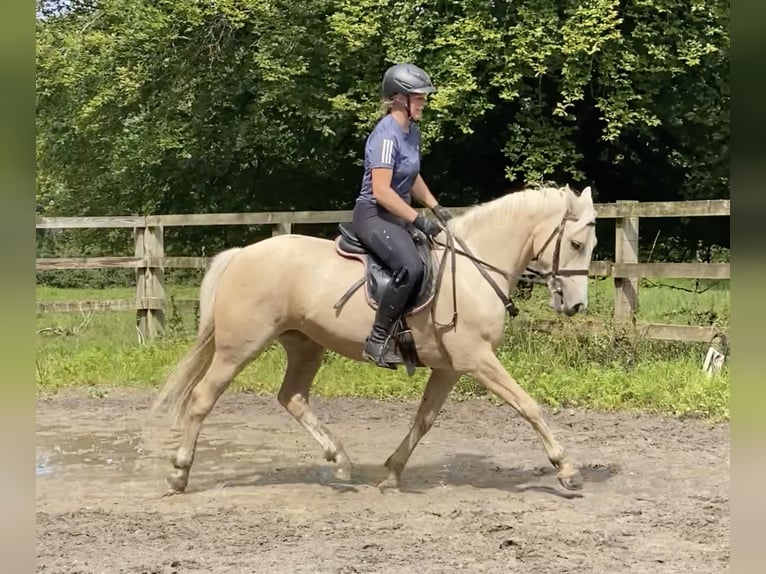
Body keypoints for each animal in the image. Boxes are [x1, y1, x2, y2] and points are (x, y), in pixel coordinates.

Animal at [153, 183, 604, 496]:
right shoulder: (477, 360)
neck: (474, 270)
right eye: (576, 243)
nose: (576, 305)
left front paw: (390, 473)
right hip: (239, 348)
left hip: (305, 345)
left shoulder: (451, 368)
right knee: (202, 399)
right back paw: (178, 473)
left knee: (292, 397)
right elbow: (528, 405)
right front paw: (566, 470)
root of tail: (242, 254)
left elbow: (424, 420)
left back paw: (339, 461)